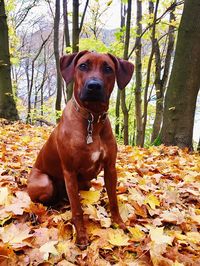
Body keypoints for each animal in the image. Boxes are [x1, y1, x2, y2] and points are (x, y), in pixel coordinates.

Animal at [27, 50, 134, 249]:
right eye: (83, 65)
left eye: (108, 68)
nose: (94, 86)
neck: (92, 119)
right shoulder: (69, 172)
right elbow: (77, 209)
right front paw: (82, 236)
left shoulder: (110, 169)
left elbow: (114, 200)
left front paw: (119, 223)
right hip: (44, 182)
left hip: (86, 183)